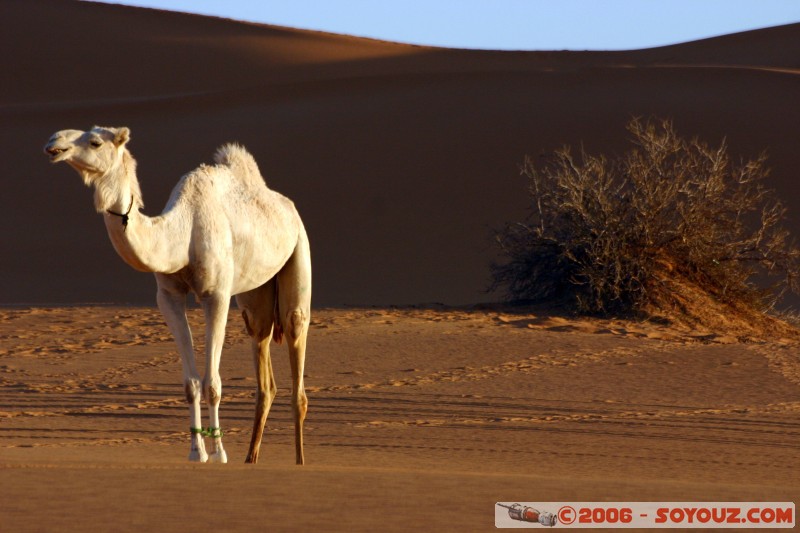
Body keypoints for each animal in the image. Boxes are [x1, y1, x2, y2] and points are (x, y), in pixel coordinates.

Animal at [43, 127, 312, 464]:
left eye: (95, 142)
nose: (53, 143)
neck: (182, 233)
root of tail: (287, 206)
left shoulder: (217, 295)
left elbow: (213, 383)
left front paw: (219, 452)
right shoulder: (168, 296)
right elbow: (191, 383)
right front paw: (197, 451)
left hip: (299, 247)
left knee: (295, 330)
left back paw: (300, 461)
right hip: (256, 293)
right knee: (261, 347)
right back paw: (250, 459)